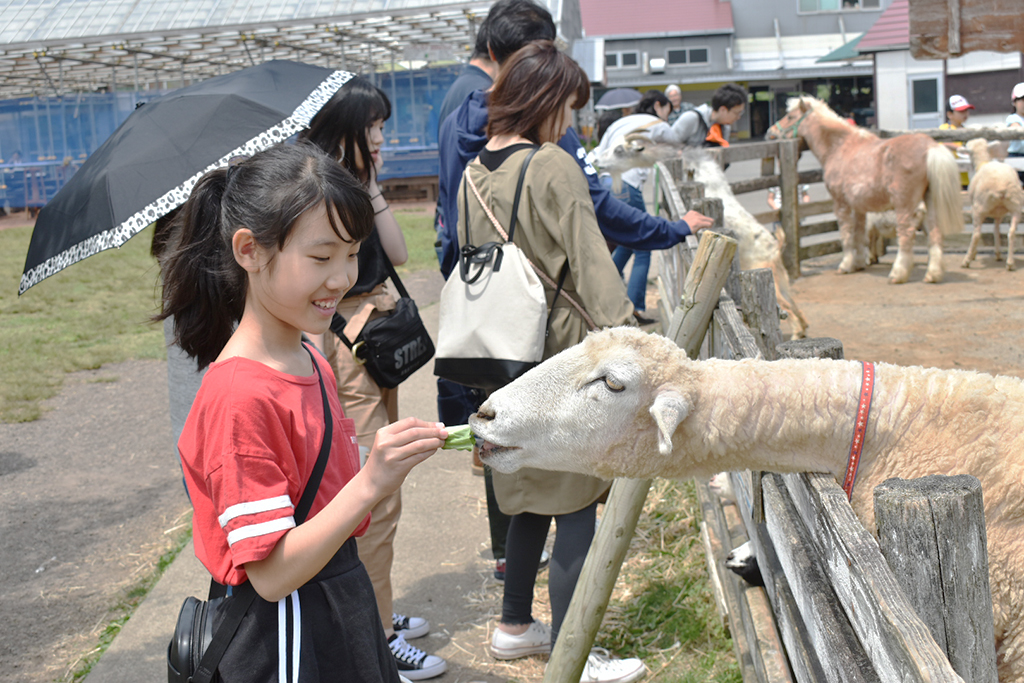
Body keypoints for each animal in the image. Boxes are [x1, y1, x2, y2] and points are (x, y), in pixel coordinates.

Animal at [765, 95, 962, 282]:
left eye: (790, 116)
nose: (769, 134)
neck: (839, 147)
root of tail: (931, 147)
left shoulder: (841, 204)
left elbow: (846, 235)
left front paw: (845, 265)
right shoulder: (858, 208)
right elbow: (859, 235)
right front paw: (859, 264)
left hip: (904, 206)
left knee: (906, 236)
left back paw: (897, 274)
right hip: (931, 202)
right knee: (936, 234)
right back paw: (933, 275)